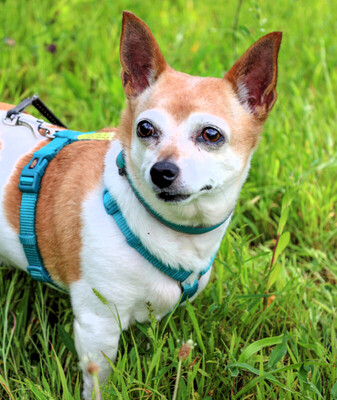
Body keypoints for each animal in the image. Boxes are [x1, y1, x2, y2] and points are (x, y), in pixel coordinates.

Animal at [0, 10, 280, 398]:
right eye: (144, 129)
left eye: (211, 134)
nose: (162, 171)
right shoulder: (97, 326)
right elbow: (99, 380)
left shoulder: (157, 316)